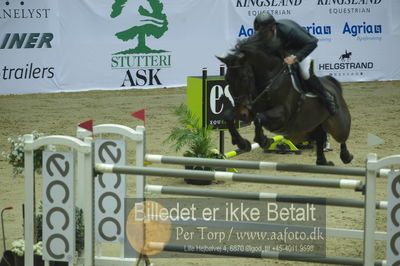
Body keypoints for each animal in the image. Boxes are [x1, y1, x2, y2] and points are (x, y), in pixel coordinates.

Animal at [219, 35, 354, 164]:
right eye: (227, 79)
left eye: (244, 78)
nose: (241, 114)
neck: (270, 79)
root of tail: (332, 83)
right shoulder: (250, 109)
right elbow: (228, 116)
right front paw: (242, 143)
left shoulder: (282, 114)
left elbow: (259, 118)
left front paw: (263, 140)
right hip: (306, 131)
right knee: (320, 137)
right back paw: (323, 162)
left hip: (338, 127)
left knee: (342, 137)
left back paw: (346, 156)